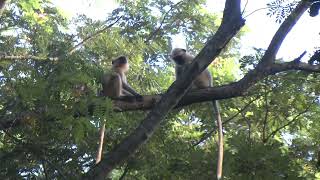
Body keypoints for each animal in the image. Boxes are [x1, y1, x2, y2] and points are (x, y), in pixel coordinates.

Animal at [171, 47, 224, 180]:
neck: (183, 61)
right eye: (175, 59)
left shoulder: (190, 59)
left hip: (201, 80)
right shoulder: (177, 67)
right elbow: (178, 76)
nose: (179, 62)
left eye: (179, 57)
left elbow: (192, 66)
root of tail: (209, 84)